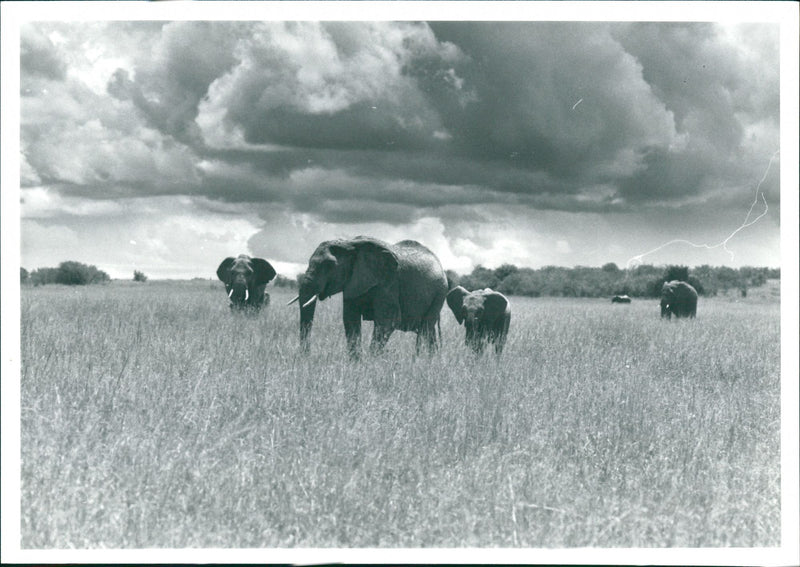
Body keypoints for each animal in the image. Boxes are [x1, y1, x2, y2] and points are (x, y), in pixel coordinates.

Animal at [287, 236, 448, 358]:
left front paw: (371, 363)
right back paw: (431, 360)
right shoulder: (352, 282)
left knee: (425, 328)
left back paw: (421, 360)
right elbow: (350, 320)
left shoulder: (388, 281)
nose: (306, 356)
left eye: (329, 265)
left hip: (440, 292)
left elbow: (387, 320)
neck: (350, 244)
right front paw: (356, 363)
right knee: (429, 331)